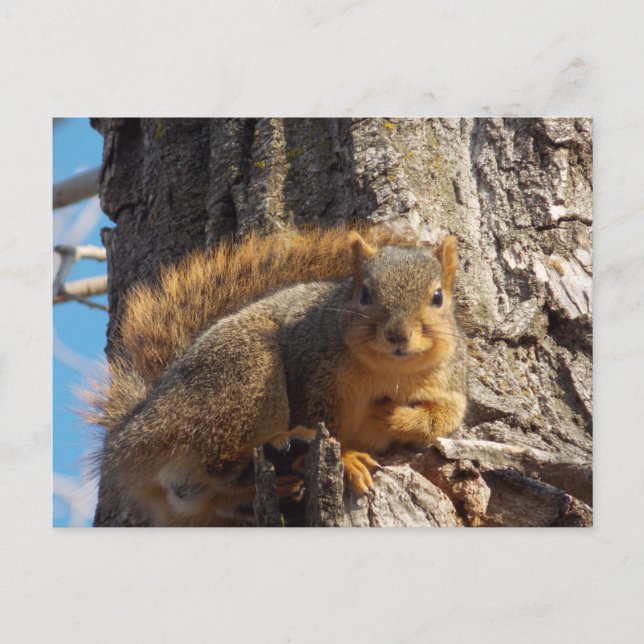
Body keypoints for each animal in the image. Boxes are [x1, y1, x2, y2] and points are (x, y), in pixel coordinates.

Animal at [87, 227, 467, 526]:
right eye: (364, 294)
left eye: (438, 297)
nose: (398, 335)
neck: (390, 371)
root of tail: (132, 430)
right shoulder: (310, 373)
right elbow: (321, 421)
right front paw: (347, 458)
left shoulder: (448, 385)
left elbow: (444, 417)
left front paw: (394, 416)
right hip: (245, 376)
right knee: (219, 465)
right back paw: (284, 444)